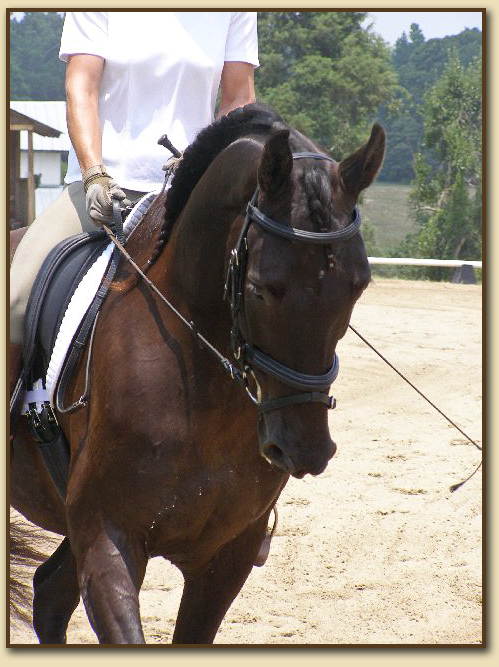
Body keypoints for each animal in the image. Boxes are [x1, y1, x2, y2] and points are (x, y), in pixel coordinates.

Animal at [10, 105, 386, 648]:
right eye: (260, 288)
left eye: (359, 285)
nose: (306, 450)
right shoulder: (107, 539)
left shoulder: (227, 556)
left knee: (49, 595)